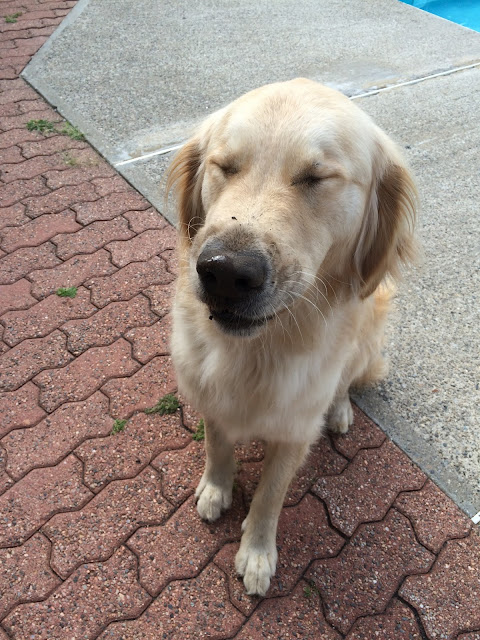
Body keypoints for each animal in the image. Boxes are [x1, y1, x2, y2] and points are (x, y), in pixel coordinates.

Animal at [167, 79, 418, 596]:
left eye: (316, 177)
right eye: (225, 166)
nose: (225, 273)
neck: (256, 351)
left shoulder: (295, 429)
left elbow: (270, 496)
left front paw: (257, 553)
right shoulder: (209, 394)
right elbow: (216, 445)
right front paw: (216, 487)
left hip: (368, 335)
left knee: (345, 383)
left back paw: (340, 411)